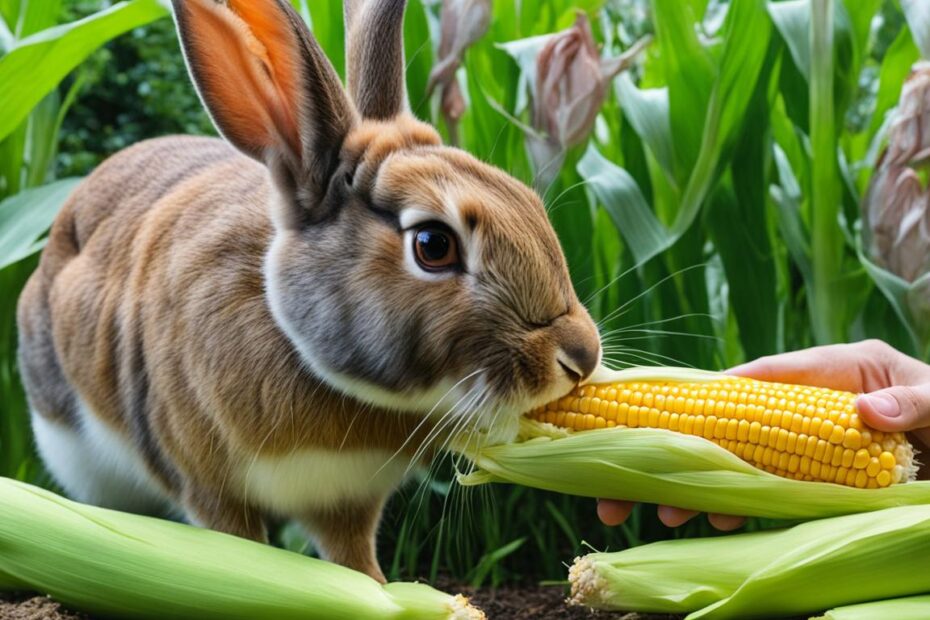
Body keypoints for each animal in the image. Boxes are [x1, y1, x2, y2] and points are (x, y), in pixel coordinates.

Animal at [15, 0, 601, 582]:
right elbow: (240, 546)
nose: (581, 356)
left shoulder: (346, 499)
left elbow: (353, 559)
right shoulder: (210, 490)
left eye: (526, 199)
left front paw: (379, 588)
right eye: (433, 245)